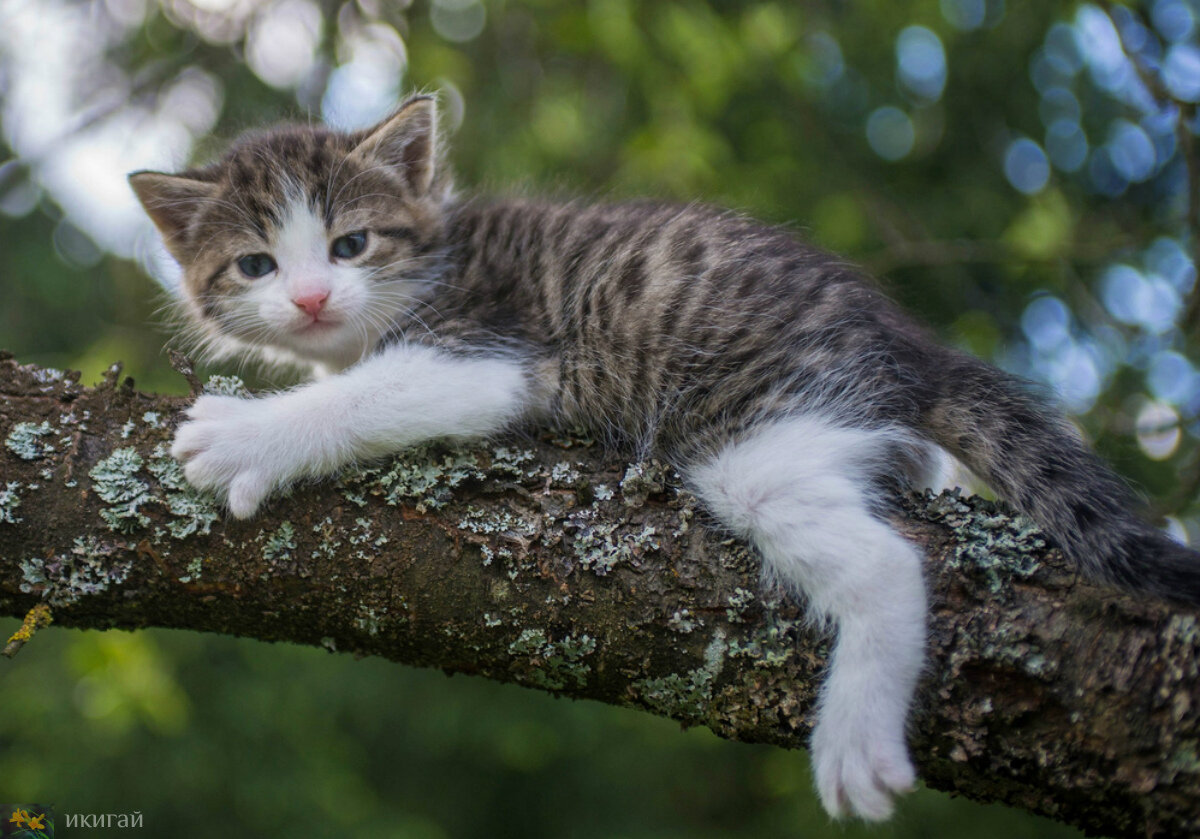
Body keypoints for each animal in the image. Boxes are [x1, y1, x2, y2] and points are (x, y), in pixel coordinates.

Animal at [129, 96, 1200, 820]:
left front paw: (243, 434)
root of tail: (906, 342)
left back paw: (856, 738)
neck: (431, 261)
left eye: (350, 244)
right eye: (258, 265)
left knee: (887, 562)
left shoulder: (490, 351)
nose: (312, 299)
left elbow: (367, 394)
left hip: (752, 427)